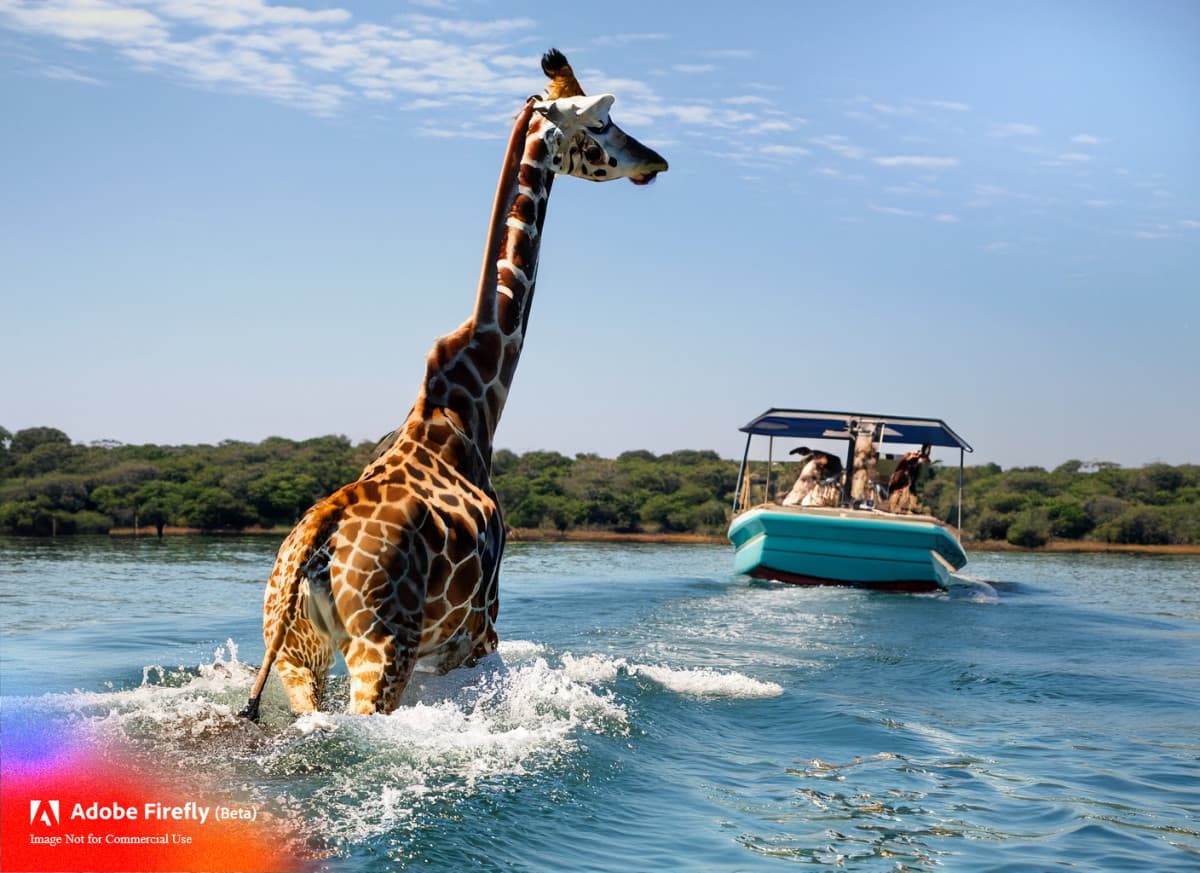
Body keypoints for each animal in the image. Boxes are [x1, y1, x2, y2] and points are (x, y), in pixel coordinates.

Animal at [234, 47, 667, 719]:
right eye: (601, 123)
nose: (655, 161)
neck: (474, 395)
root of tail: (313, 548)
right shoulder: (479, 628)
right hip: (382, 649)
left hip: (298, 654)